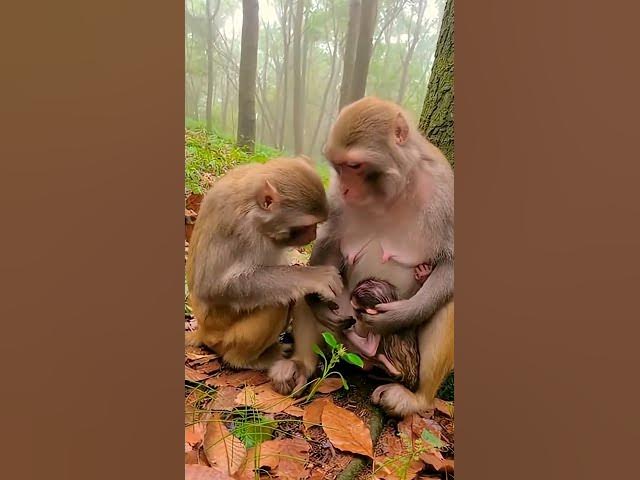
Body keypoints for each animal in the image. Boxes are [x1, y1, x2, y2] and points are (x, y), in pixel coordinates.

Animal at [185, 156, 343, 371]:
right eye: (307, 225)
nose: (314, 235)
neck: (252, 209)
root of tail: (203, 329)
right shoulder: (241, 230)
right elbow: (212, 287)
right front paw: (313, 277)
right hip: (221, 332)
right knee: (277, 301)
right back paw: (245, 360)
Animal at [269, 97, 454, 417]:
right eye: (338, 166)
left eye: (354, 165)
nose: (344, 187)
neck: (391, 192)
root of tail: (365, 357)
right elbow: (329, 243)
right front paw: (320, 304)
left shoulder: (445, 188)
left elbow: (451, 262)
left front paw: (398, 316)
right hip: (340, 335)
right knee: (310, 284)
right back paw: (301, 365)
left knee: (447, 307)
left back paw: (416, 399)